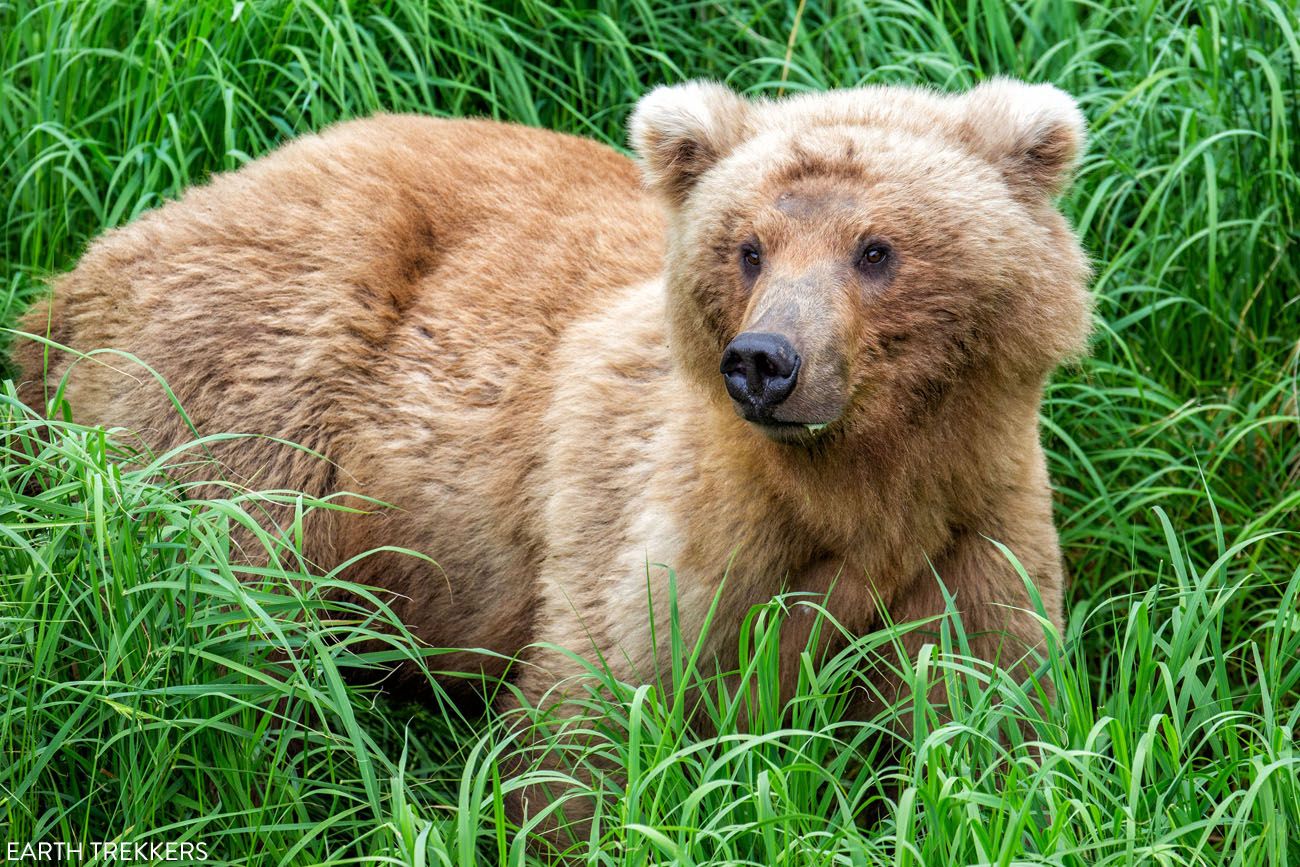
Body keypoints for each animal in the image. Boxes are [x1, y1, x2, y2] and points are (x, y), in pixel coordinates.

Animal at [15, 77, 1092, 779]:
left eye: (876, 248)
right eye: (747, 246)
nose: (765, 361)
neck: (864, 484)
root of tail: (96, 257)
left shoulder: (972, 534)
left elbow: (987, 729)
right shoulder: (673, 526)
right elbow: (595, 716)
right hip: (252, 392)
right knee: (222, 615)